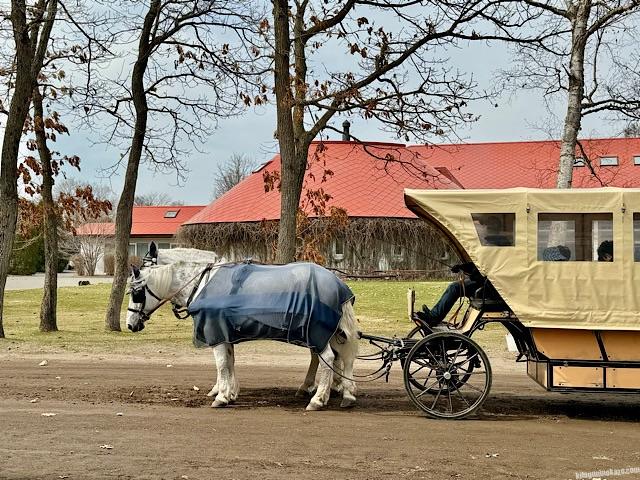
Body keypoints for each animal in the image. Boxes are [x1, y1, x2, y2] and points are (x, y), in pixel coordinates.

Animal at [125, 257, 359, 411]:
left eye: (137, 293)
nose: (130, 324)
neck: (202, 285)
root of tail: (338, 283)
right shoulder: (224, 333)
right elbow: (230, 362)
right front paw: (230, 393)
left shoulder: (216, 331)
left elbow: (221, 364)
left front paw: (221, 396)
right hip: (327, 332)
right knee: (340, 358)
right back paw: (343, 392)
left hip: (317, 331)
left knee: (328, 358)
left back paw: (318, 399)